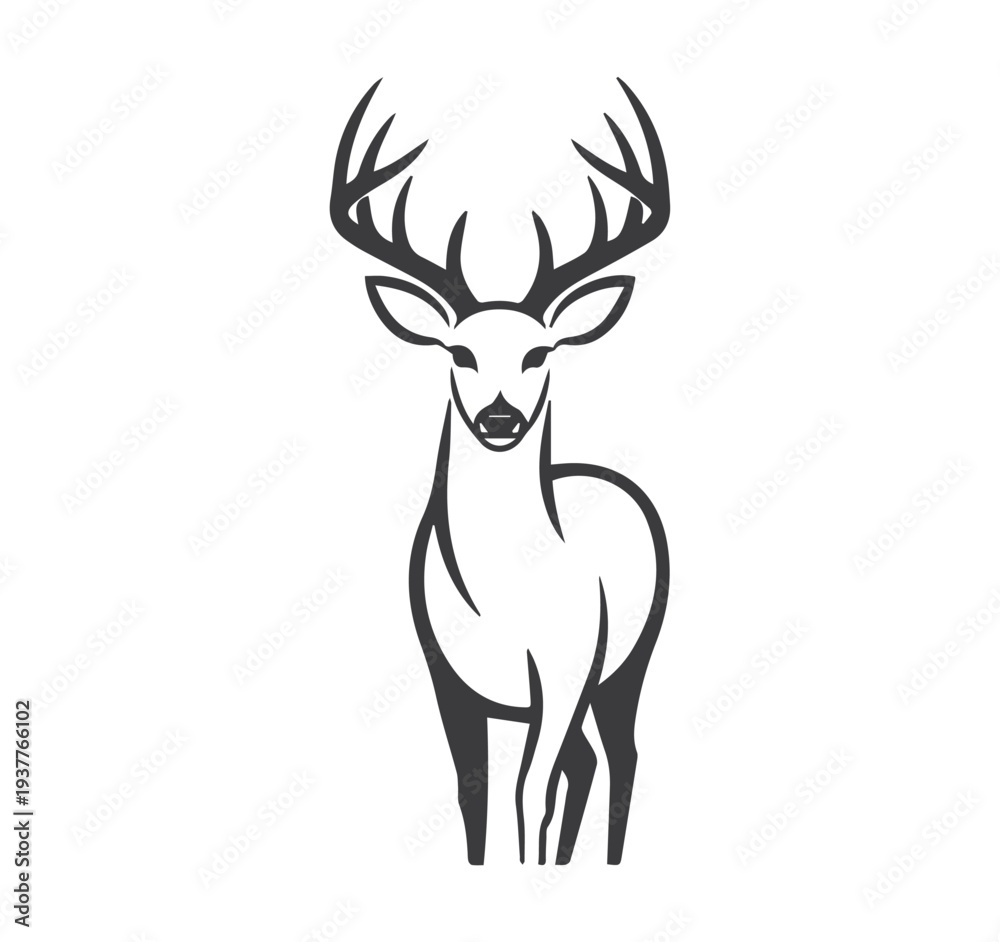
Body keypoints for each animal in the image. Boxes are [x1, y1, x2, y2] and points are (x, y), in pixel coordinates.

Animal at [330, 78, 670, 865]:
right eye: (458, 352)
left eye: (540, 352)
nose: (499, 418)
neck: (502, 597)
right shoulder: (448, 675)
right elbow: (474, 792)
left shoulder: (565, 667)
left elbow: (528, 792)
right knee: (586, 760)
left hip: (628, 655)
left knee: (620, 754)